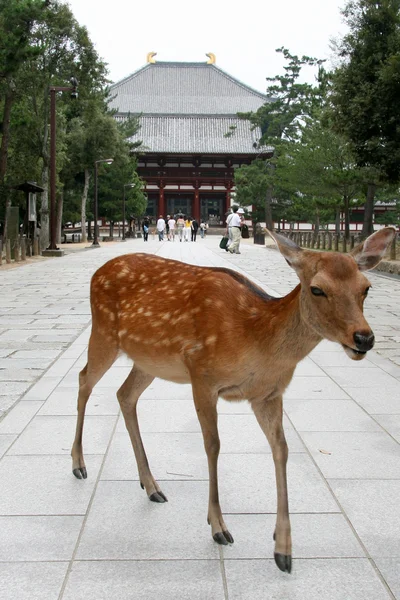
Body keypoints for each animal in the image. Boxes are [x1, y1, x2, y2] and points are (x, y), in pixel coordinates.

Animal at [71, 229, 394, 572]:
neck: (255, 336)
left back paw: (151, 486)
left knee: (124, 394)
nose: (364, 338)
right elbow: (213, 445)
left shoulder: (269, 394)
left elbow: (281, 449)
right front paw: (218, 527)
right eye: (317, 288)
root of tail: (98, 272)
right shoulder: (202, 374)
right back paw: (79, 465)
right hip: (103, 332)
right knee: (83, 379)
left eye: (366, 287)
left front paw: (283, 549)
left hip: (148, 361)